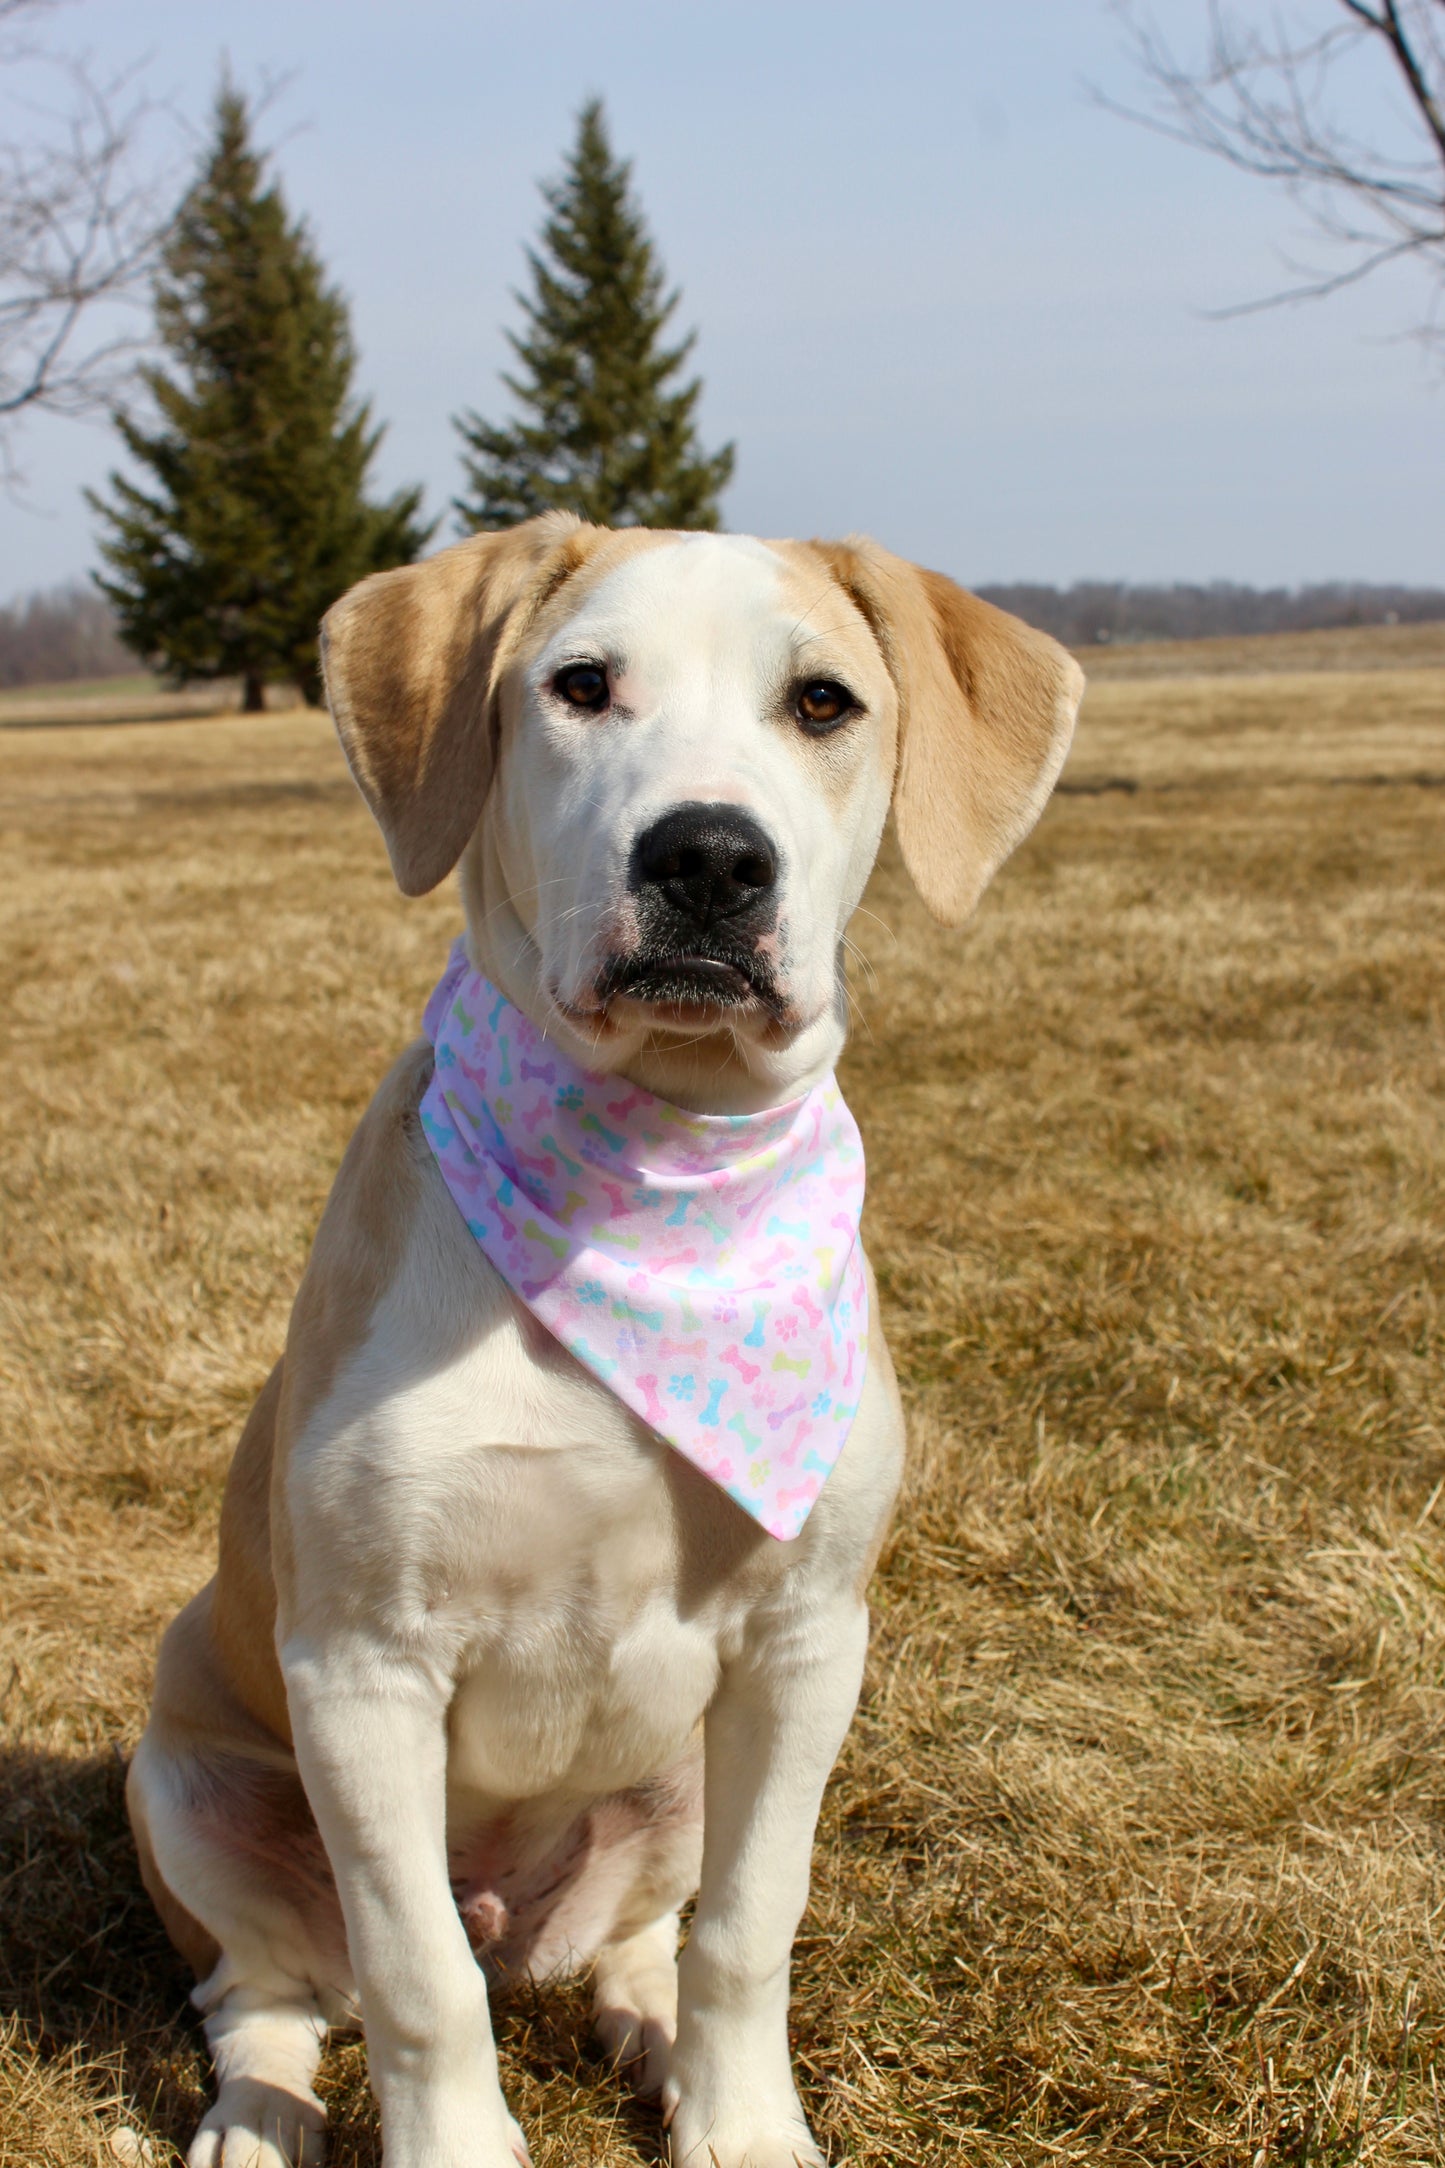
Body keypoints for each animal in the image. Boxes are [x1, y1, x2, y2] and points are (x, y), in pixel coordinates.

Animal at [127, 511, 1083, 2168]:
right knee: (272, 1989)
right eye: (579, 685)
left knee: (638, 1941)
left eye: (823, 703)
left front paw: (744, 2124)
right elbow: (412, 1976)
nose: (708, 856)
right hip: (187, 1782)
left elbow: (750, 1925)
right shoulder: (361, 1666)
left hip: (678, 1778)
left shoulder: (807, 1638)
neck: (650, 1183)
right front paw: (453, 2152)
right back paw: (257, 2115)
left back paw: (649, 2036)